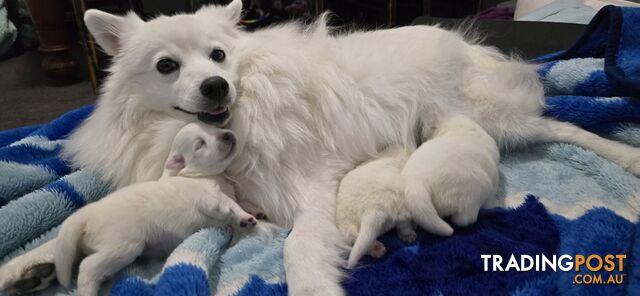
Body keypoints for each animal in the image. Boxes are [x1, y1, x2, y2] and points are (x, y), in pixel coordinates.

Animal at [53, 122, 256, 296]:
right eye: (200, 144)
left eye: (214, 127)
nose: (228, 134)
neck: (196, 175)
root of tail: (86, 213)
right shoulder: (209, 197)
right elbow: (229, 204)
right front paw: (245, 217)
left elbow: (236, 203)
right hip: (124, 244)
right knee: (87, 267)